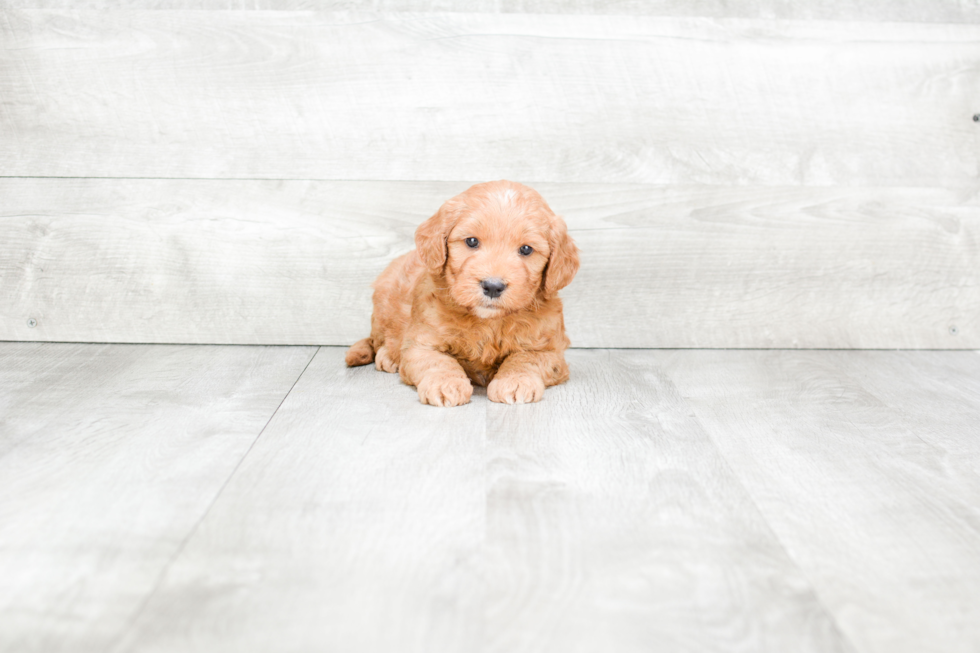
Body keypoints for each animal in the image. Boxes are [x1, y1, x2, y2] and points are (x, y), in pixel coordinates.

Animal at [344, 178, 580, 404]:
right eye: (472, 241)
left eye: (526, 249)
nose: (492, 286)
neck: (488, 322)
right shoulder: (422, 342)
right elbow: (438, 361)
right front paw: (445, 384)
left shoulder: (550, 350)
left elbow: (526, 358)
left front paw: (515, 381)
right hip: (383, 303)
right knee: (377, 340)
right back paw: (385, 356)